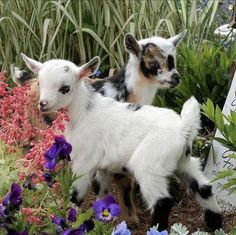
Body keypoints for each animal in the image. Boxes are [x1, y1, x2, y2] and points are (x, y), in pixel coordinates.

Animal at [21, 54, 221, 230]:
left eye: (65, 88)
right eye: (40, 83)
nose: (43, 104)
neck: (82, 113)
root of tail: (184, 127)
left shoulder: (84, 161)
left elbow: (76, 195)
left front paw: (71, 220)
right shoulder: (104, 166)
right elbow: (101, 192)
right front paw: (101, 223)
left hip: (150, 163)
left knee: (162, 202)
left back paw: (157, 228)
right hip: (182, 160)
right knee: (203, 187)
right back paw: (215, 224)